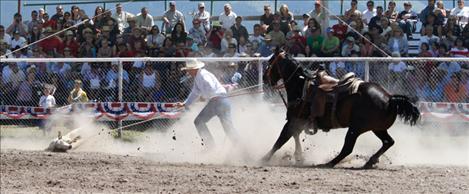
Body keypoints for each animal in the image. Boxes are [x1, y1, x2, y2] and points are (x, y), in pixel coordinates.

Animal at [262, 50, 418, 168]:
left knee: (348, 148)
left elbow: (281, 140)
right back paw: (370, 161)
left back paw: (328, 163)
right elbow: (294, 137)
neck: (301, 87)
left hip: (355, 129)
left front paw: (263, 159)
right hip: (377, 128)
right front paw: (298, 157)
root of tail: (390, 98)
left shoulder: (293, 121)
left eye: (270, 62)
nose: (264, 78)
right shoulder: (297, 123)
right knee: (388, 142)